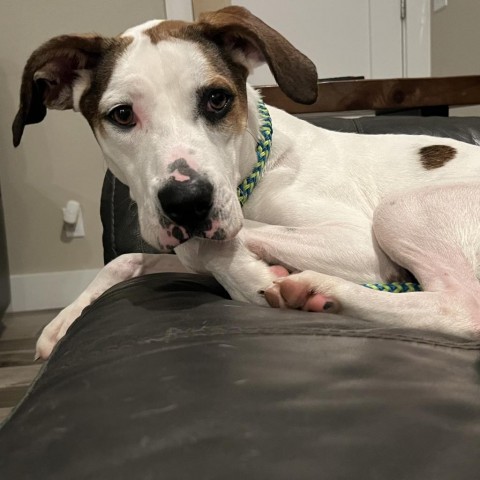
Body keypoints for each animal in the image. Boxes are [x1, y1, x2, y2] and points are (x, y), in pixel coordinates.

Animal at [12, 5, 480, 358]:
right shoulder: (176, 241)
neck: (254, 170)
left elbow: (212, 243)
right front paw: (62, 321)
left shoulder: (355, 241)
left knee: (462, 308)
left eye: (217, 99)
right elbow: (129, 258)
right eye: (122, 114)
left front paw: (252, 277)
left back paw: (321, 287)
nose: (187, 203)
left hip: (402, 208)